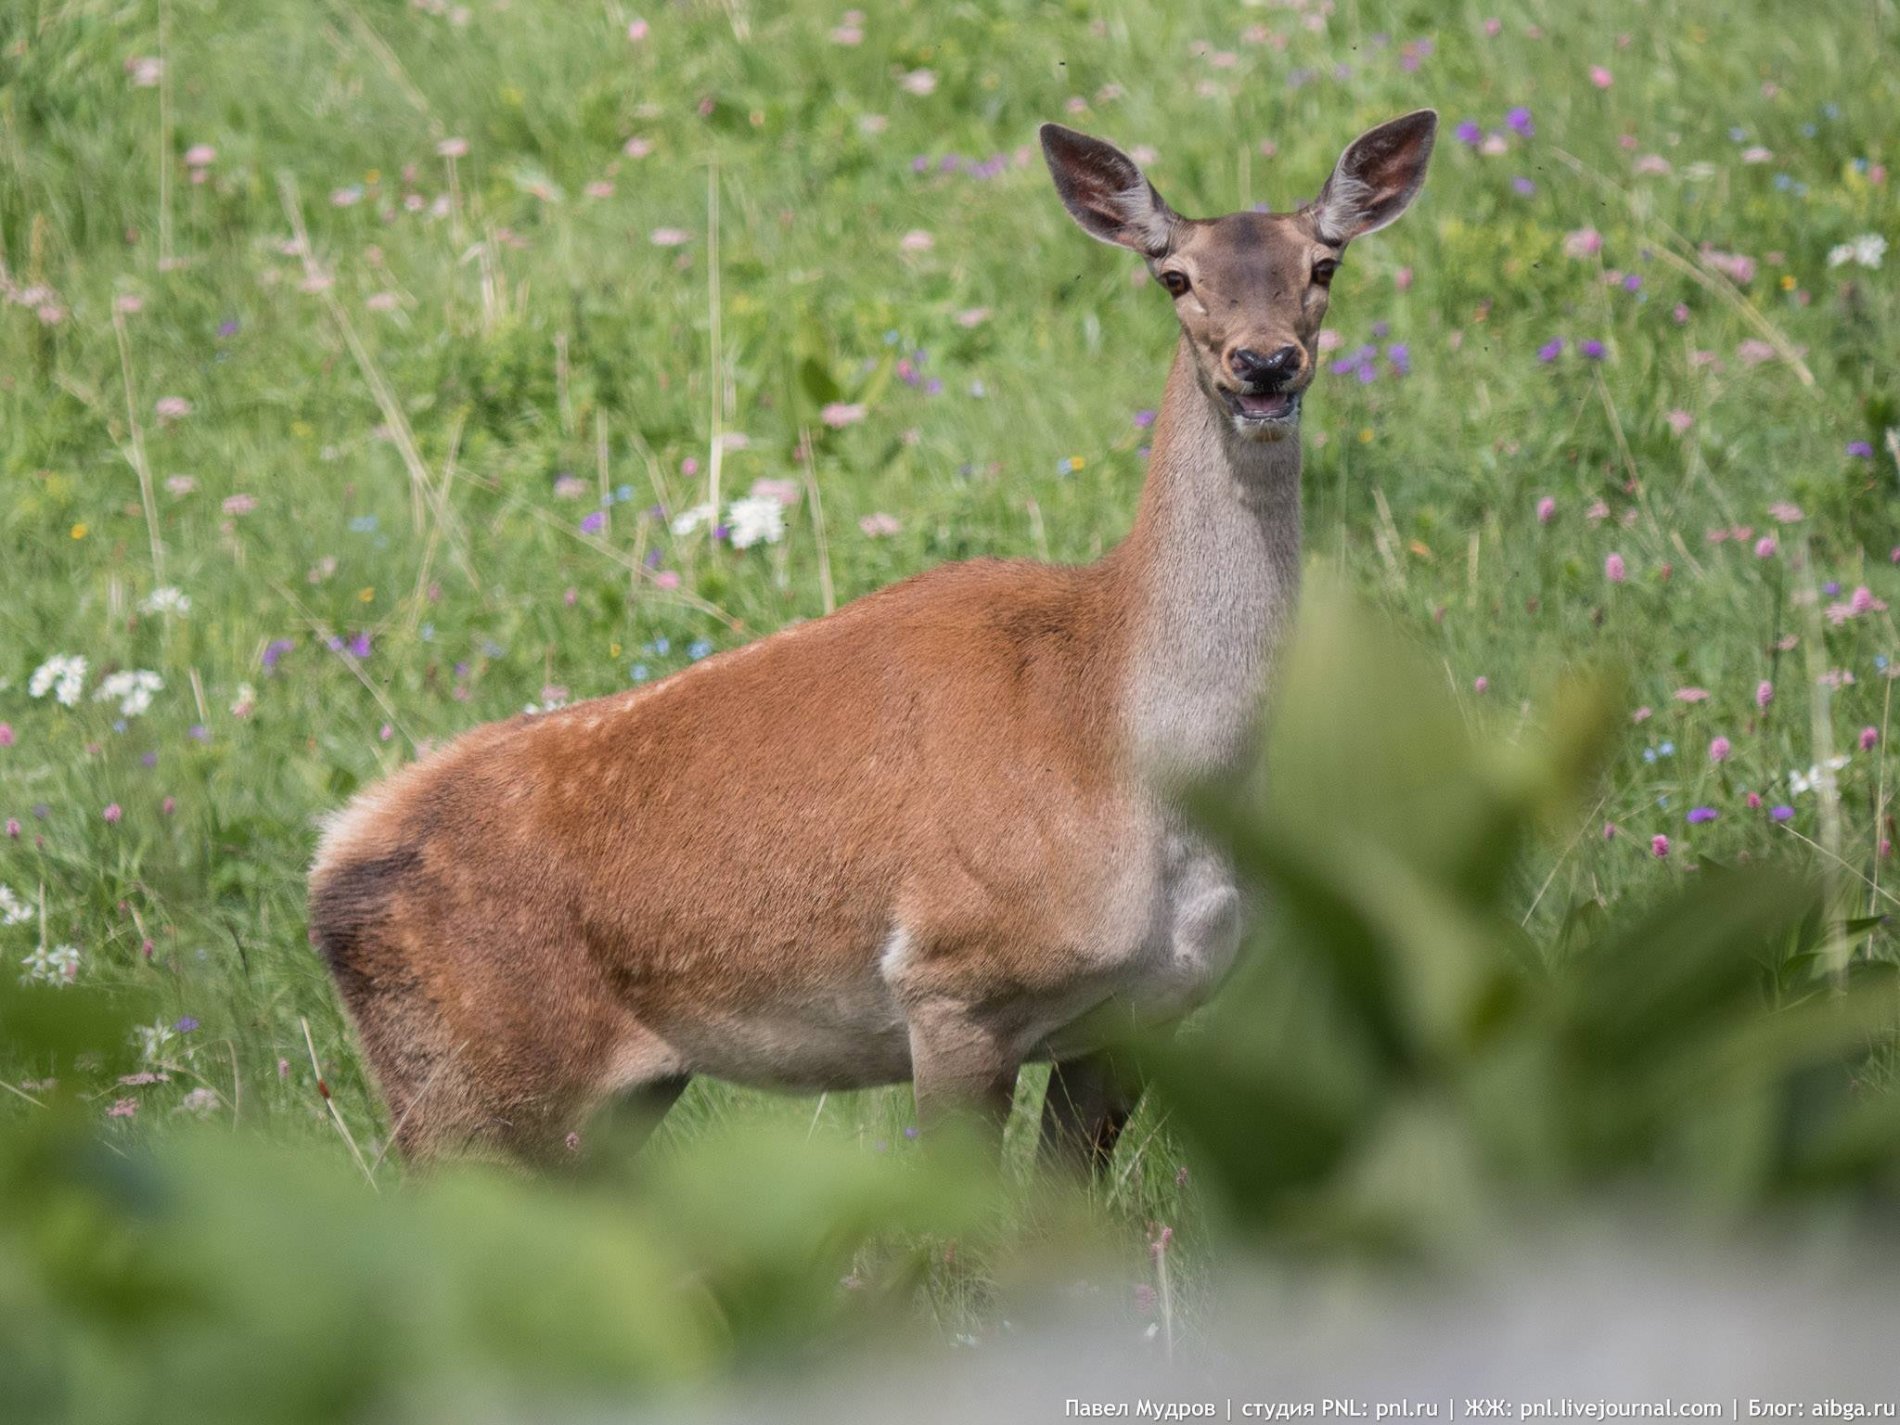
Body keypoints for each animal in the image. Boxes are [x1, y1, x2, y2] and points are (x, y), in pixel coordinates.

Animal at [307, 111, 1436, 1178]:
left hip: (606, 1099)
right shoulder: (953, 983)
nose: (1264, 363)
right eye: (1175, 277)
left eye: (1323, 264)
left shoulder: (1141, 1016)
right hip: (472, 1090)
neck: (1131, 743)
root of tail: (329, 862)